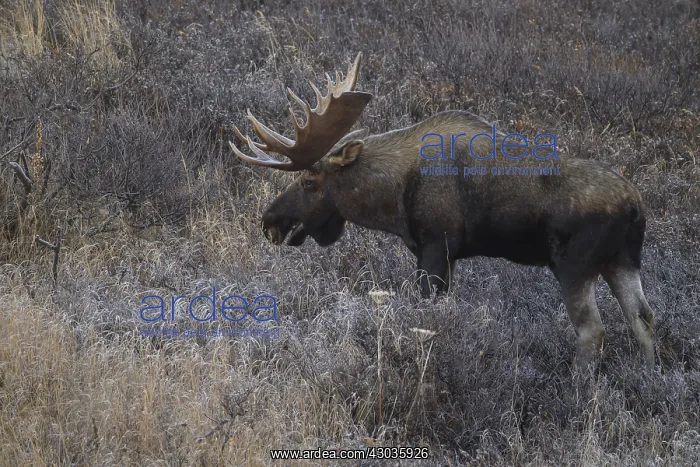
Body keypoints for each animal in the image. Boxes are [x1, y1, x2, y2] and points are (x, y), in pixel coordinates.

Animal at [229, 53, 656, 371]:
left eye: (309, 182)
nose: (270, 222)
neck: (390, 199)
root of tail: (635, 206)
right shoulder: (445, 256)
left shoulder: (436, 247)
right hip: (623, 262)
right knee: (644, 318)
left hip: (575, 266)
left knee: (593, 331)